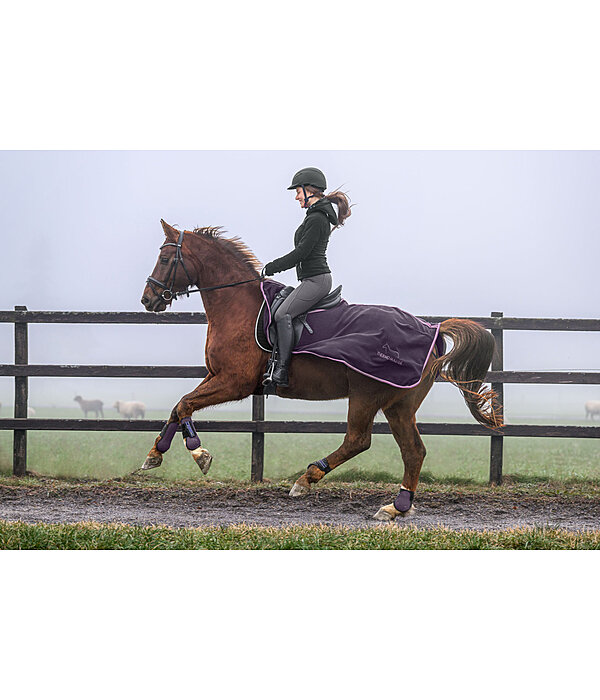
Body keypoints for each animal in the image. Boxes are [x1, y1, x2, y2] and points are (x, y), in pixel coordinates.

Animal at [139, 219, 502, 520]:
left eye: (167, 260)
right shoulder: (216, 377)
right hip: (399, 405)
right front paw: (155, 455)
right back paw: (396, 507)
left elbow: (185, 404)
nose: (148, 299)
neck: (239, 306)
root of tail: (433, 329)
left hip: (367, 394)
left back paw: (307, 479)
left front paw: (199, 453)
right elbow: (178, 407)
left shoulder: (234, 381)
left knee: (359, 440)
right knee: (413, 451)